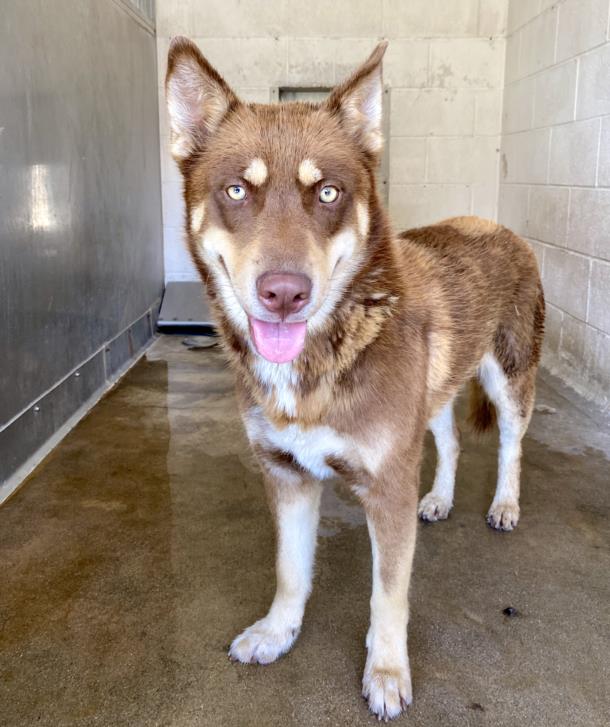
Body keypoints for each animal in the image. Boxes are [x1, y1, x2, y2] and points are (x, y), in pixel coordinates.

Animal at [165, 38, 540, 724]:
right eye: (236, 190)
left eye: (329, 193)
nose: (284, 294)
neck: (324, 357)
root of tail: (495, 224)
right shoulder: (286, 472)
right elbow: (289, 571)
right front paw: (278, 632)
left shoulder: (386, 482)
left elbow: (388, 595)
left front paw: (387, 671)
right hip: (435, 393)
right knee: (449, 443)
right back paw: (440, 498)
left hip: (510, 374)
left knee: (510, 444)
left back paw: (504, 504)